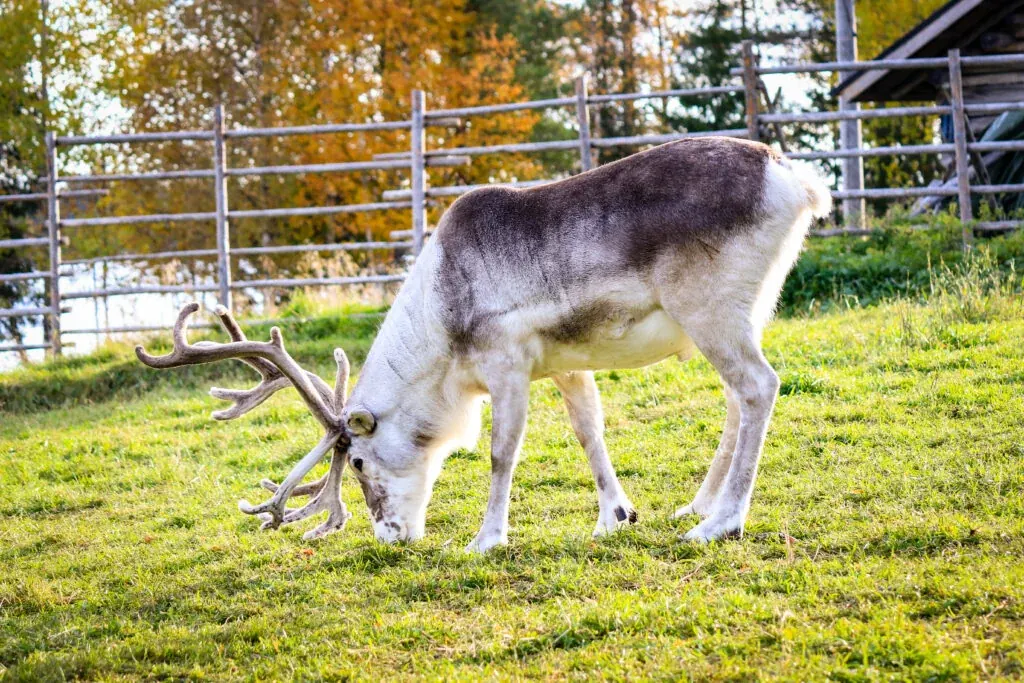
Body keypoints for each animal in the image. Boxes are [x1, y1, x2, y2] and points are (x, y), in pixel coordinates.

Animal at [137, 137, 832, 552]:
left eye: (355, 461)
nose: (391, 536)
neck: (443, 332)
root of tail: (797, 181)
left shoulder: (507, 364)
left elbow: (501, 453)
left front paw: (486, 538)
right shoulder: (566, 364)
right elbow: (590, 432)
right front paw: (614, 517)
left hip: (711, 309)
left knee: (759, 386)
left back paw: (722, 522)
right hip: (746, 311)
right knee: (737, 397)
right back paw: (696, 506)